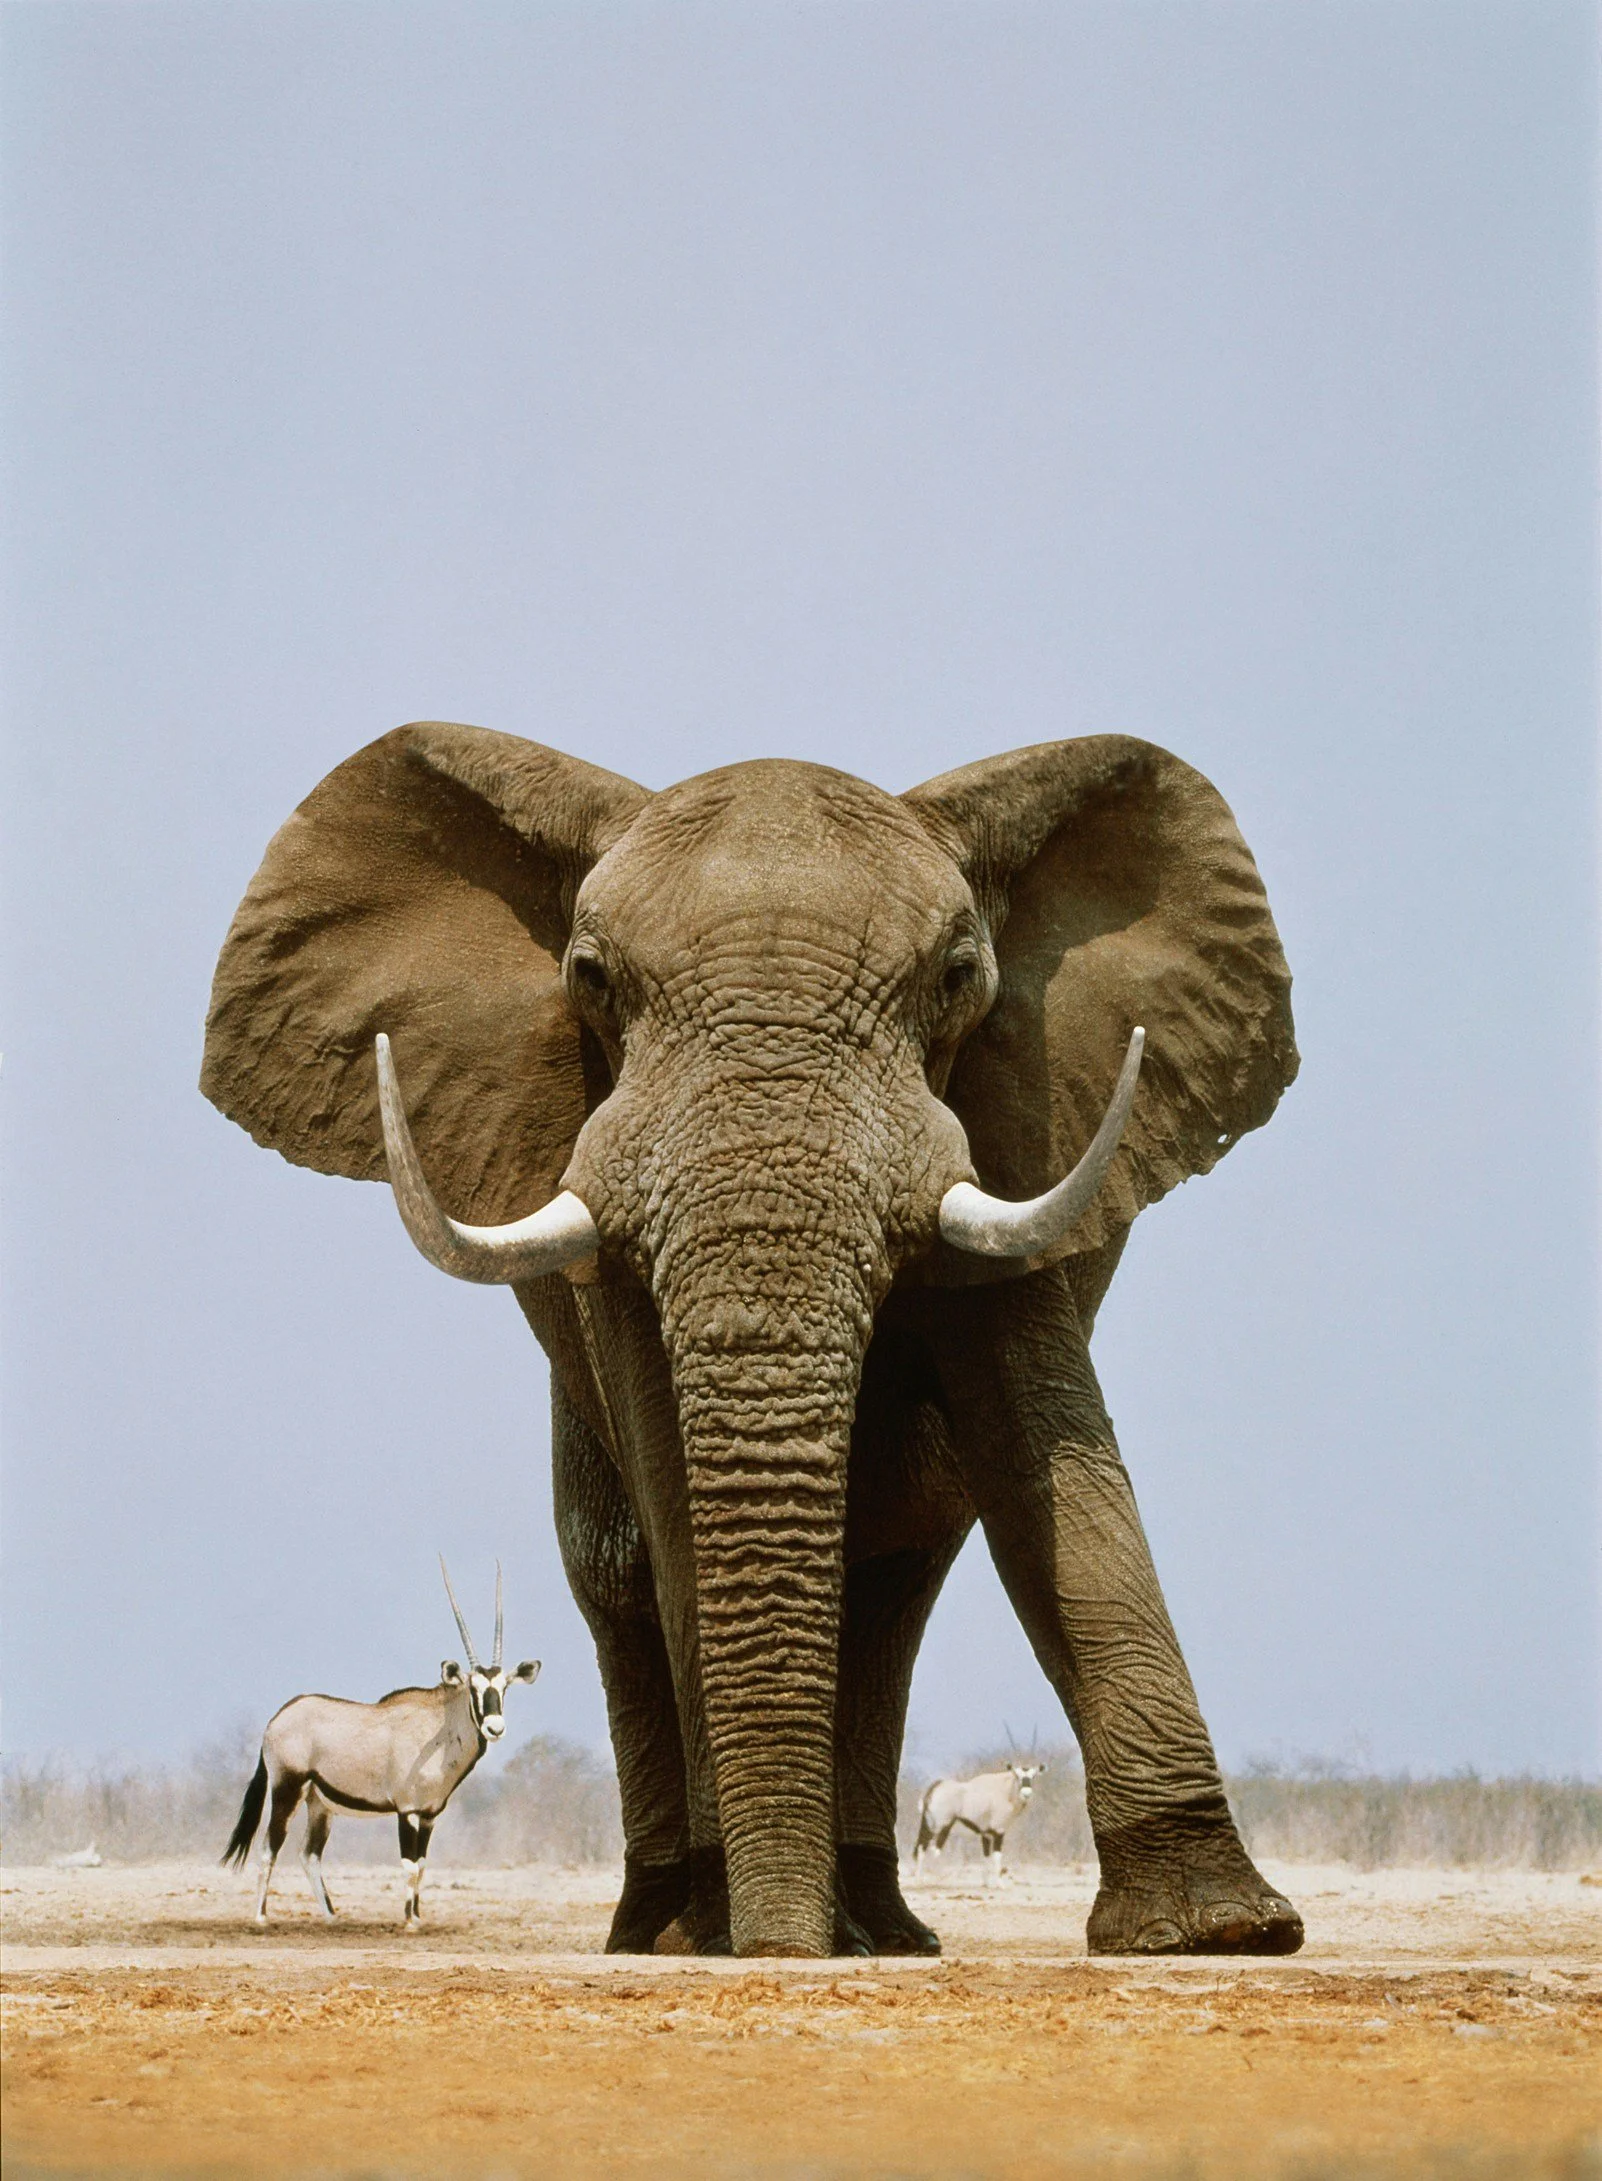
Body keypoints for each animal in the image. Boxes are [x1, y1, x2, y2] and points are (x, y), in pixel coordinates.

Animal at [201, 724, 1303, 1961]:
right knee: (618, 1581)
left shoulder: (1016, 1130)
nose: (781, 1945)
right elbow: (673, 1494)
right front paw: (721, 1931)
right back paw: (670, 1926)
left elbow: (1047, 1465)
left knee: (897, 1583)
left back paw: (873, 1930)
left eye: (959, 979)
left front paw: (1221, 1931)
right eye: (589, 979)